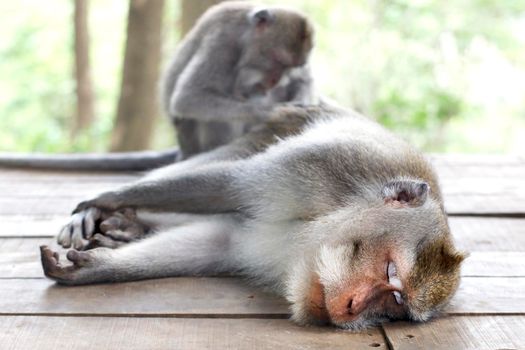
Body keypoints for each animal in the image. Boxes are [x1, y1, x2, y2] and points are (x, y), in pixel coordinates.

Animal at [1, 2, 316, 172]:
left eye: (289, 67)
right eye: (276, 59)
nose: (274, 81)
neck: (245, 35)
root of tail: (183, 149)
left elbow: (305, 81)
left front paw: (302, 101)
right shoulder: (222, 42)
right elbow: (188, 98)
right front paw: (275, 112)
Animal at [43, 102, 464, 330]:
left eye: (395, 305)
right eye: (390, 268)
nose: (352, 309)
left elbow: (216, 242)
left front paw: (99, 266)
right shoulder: (322, 169)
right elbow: (230, 186)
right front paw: (101, 200)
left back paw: (130, 225)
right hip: (274, 128)